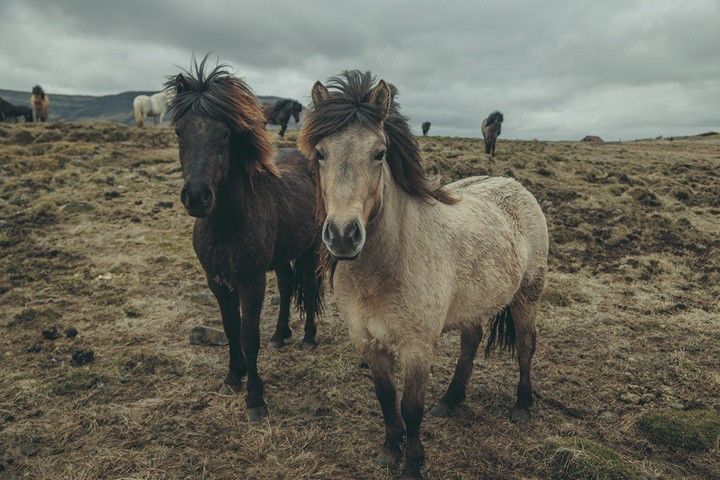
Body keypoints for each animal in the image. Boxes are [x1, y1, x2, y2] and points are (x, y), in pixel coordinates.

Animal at [166, 58, 324, 422]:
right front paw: (232, 377)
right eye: (179, 131)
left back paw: (308, 337)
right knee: (287, 284)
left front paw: (255, 397)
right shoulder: (217, 281)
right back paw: (280, 335)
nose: (197, 197)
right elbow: (230, 329)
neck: (227, 223)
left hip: (309, 250)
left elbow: (249, 335)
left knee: (308, 288)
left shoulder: (251, 282)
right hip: (280, 258)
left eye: (225, 134)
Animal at [300, 72, 548, 480]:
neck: (383, 270)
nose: (342, 235)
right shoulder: (368, 342)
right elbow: (386, 399)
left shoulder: (416, 347)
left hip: (527, 296)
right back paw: (450, 400)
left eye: (379, 153)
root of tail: (517, 187)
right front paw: (390, 450)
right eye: (320, 153)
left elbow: (411, 408)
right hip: (473, 302)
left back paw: (522, 407)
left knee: (526, 346)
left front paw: (414, 463)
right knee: (471, 341)